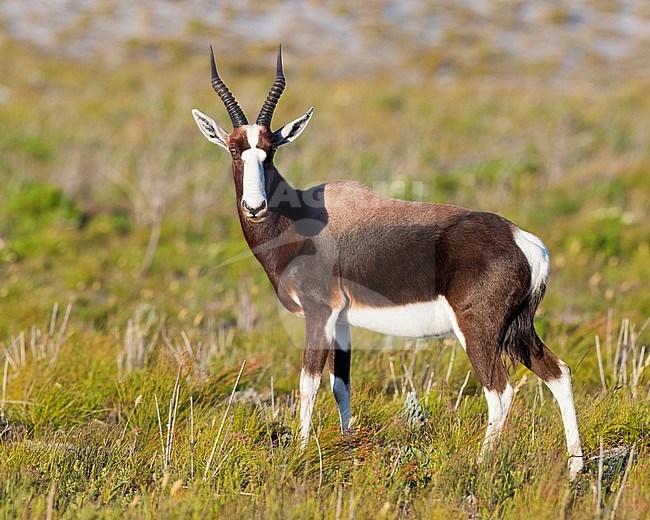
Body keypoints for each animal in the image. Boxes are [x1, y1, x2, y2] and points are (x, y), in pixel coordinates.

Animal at [190, 45, 584, 480]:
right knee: (558, 373)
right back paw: (576, 470)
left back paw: (478, 466)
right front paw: (347, 449)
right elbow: (340, 385)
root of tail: (524, 241)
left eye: (271, 150)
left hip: (478, 331)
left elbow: (308, 383)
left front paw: (301, 455)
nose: (255, 206)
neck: (301, 217)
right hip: (519, 330)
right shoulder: (341, 322)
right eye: (234, 149)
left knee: (500, 390)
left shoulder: (318, 313)